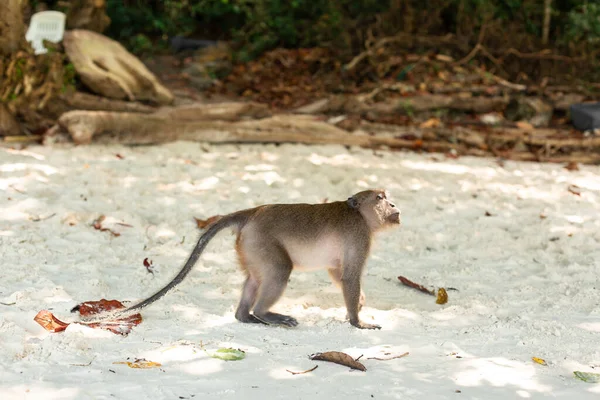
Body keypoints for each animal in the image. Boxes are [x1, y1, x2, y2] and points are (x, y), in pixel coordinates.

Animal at [79, 189, 398, 330]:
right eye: (380, 197)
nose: (394, 205)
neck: (360, 215)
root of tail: (253, 212)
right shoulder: (359, 234)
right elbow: (350, 275)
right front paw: (357, 321)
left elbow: (337, 271)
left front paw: (359, 304)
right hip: (260, 240)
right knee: (280, 270)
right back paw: (264, 313)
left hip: (249, 245)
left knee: (256, 278)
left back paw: (246, 315)